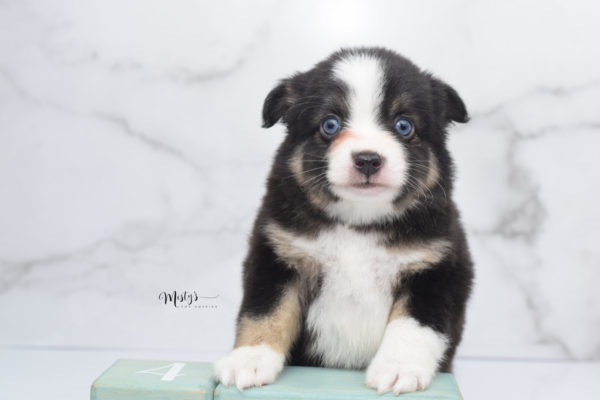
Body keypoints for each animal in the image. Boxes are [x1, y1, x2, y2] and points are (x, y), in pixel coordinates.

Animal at [216, 47, 474, 394]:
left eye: (403, 126)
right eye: (330, 124)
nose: (367, 160)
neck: (359, 225)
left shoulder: (437, 267)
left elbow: (413, 325)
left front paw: (399, 368)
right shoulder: (277, 255)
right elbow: (265, 310)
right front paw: (249, 360)